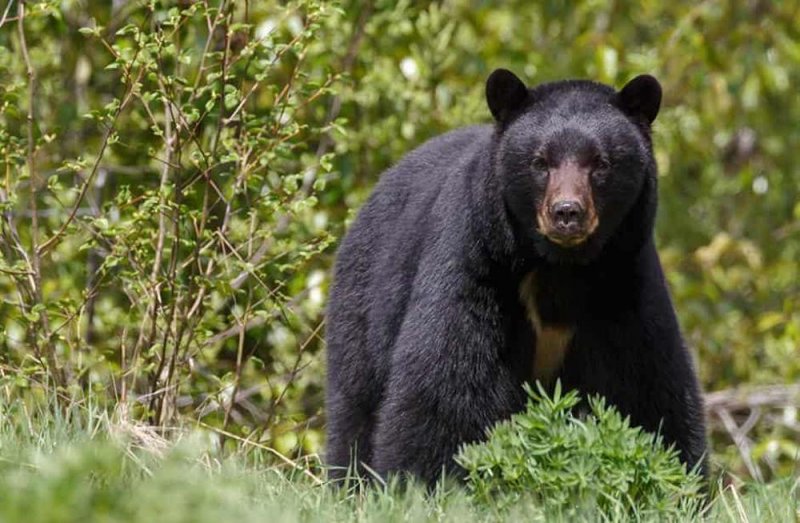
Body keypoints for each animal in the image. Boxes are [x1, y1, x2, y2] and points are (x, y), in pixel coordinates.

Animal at [324, 68, 708, 488]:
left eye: (601, 162)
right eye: (540, 161)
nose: (567, 213)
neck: (559, 267)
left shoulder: (622, 283)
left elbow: (646, 387)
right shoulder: (477, 263)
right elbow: (446, 381)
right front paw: (422, 482)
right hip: (366, 297)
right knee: (356, 402)